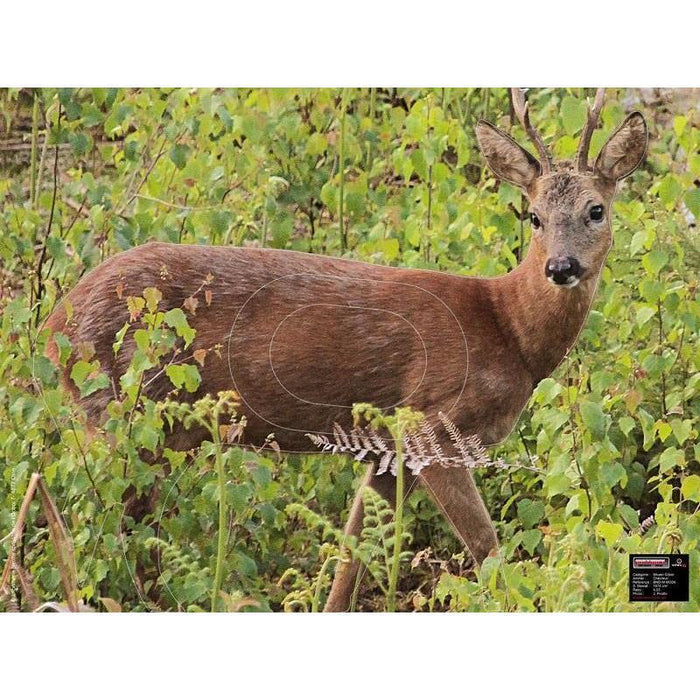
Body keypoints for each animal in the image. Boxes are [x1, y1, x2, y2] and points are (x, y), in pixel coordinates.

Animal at [42, 89, 644, 612]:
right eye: (534, 216)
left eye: (595, 209)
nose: (561, 267)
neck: (508, 331)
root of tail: (51, 326)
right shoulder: (431, 424)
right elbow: (487, 549)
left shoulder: (385, 448)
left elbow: (352, 560)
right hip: (124, 410)